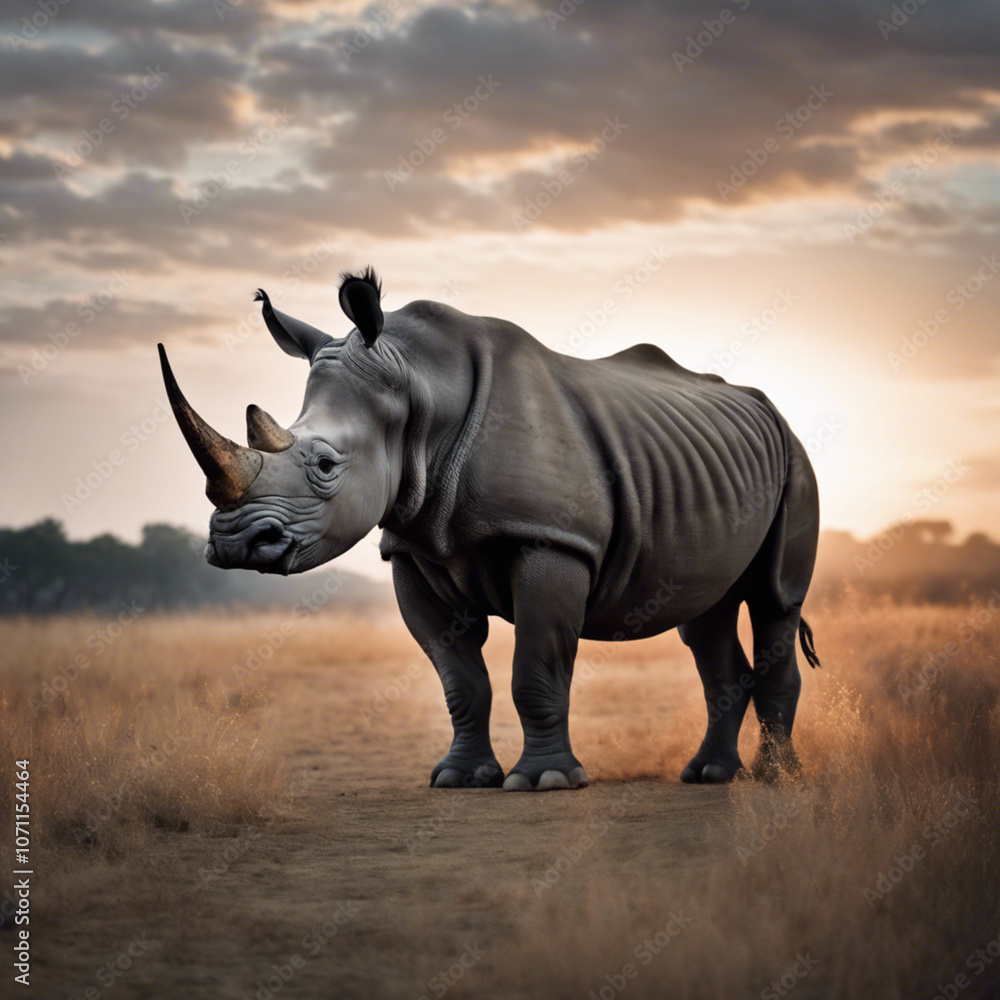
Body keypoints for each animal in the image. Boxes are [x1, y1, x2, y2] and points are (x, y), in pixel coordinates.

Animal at [158, 267, 820, 791]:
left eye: (324, 466)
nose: (234, 544)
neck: (420, 391)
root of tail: (773, 411)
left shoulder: (551, 539)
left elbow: (536, 665)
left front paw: (545, 782)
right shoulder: (412, 548)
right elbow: (458, 681)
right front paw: (460, 778)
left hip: (796, 459)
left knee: (774, 600)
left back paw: (774, 778)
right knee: (704, 612)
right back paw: (707, 775)